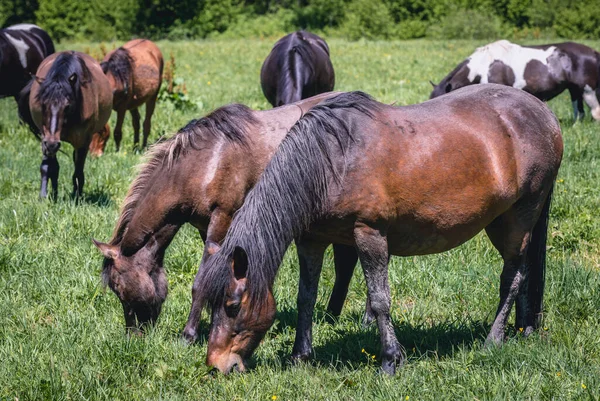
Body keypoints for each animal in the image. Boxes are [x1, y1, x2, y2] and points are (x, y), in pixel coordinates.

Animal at [28, 51, 113, 198]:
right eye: (43, 104)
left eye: (67, 106)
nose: (52, 143)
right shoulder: (45, 137)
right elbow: (47, 167)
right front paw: (44, 196)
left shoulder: (83, 140)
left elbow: (78, 170)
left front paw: (77, 196)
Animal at [89, 93, 360, 338]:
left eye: (119, 288)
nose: (133, 336)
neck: (206, 162)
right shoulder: (204, 226)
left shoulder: (222, 217)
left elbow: (201, 279)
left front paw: (189, 334)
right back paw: (332, 315)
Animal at [191, 86, 564, 374]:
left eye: (233, 306)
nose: (217, 365)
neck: (331, 160)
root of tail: (545, 112)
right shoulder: (311, 239)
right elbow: (305, 297)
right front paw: (300, 356)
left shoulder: (369, 233)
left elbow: (380, 299)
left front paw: (390, 360)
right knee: (524, 274)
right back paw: (523, 329)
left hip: (518, 218)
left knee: (513, 276)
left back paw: (493, 340)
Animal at [428, 40, 600, 122]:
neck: (483, 64)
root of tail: (594, 52)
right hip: (575, 89)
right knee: (579, 113)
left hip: (588, 90)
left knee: (595, 112)